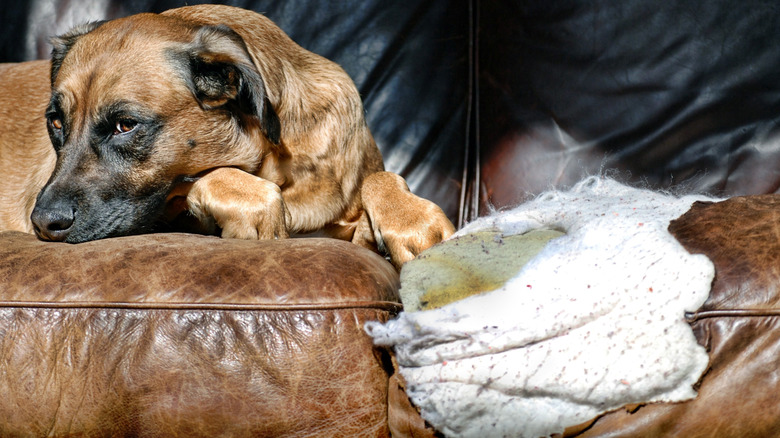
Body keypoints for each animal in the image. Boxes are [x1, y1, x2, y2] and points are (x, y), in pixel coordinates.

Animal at [0, 5, 454, 268]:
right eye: (56, 123)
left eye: (125, 125)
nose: (42, 223)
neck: (283, 168)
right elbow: (221, 181)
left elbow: (381, 178)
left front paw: (411, 221)